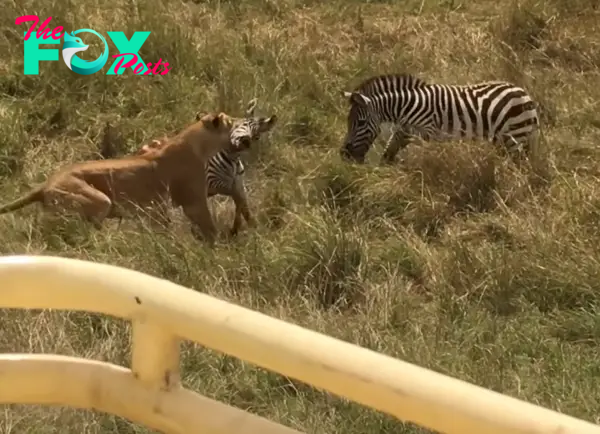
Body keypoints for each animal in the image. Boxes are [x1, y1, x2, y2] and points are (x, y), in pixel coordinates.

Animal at [340, 73, 540, 164]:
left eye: (360, 123)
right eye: (348, 123)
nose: (345, 154)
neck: (407, 107)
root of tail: (525, 94)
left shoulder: (426, 132)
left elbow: (421, 155)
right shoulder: (403, 131)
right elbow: (389, 152)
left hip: (515, 136)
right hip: (504, 139)